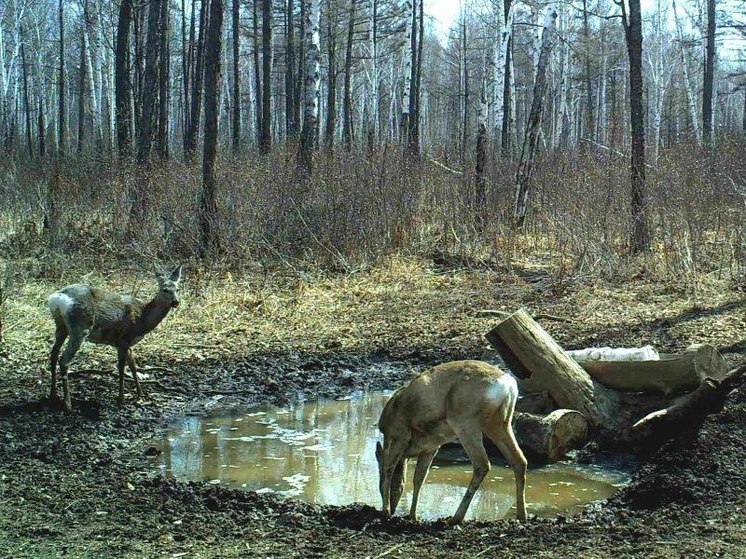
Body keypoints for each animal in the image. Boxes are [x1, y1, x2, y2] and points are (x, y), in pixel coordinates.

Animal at [46, 264, 183, 414]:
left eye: (178, 289)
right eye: (165, 289)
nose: (175, 301)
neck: (143, 318)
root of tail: (57, 298)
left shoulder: (126, 342)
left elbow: (133, 365)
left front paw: (141, 394)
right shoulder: (123, 339)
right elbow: (122, 368)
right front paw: (121, 399)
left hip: (61, 326)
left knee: (53, 354)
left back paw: (53, 396)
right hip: (80, 328)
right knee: (64, 360)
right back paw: (68, 405)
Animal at [374, 358, 528, 524]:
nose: (393, 509)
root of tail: (508, 385)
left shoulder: (399, 433)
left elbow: (389, 469)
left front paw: (386, 512)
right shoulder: (430, 447)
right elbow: (419, 479)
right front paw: (413, 517)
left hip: (465, 420)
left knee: (482, 464)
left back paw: (456, 517)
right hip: (499, 422)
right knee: (519, 461)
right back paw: (522, 515)